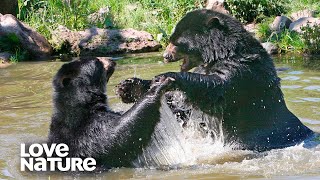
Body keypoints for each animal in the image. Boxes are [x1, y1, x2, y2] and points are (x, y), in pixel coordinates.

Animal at [116, 9, 314, 151]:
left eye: (176, 42)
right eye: (171, 39)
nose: (165, 56)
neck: (221, 51)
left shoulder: (243, 70)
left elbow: (216, 89)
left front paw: (167, 76)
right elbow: (182, 110)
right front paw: (128, 87)